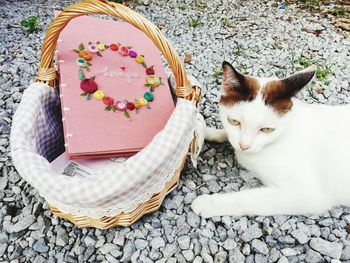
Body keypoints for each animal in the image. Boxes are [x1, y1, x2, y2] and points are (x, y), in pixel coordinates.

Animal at [191, 61, 350, 219]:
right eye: (234, 122)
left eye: (267, 129)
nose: (244, 146)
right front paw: (207, 132)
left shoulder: (309, 195)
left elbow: (249, 198)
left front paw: (209, 203)